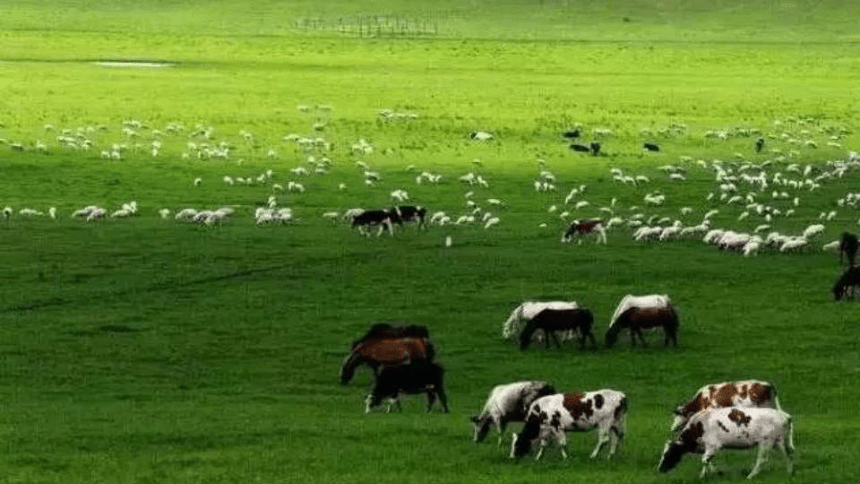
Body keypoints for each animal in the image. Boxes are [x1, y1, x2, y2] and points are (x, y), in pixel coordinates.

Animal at [660, 406, 796, 478]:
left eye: (667, 454)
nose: (659, 469)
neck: (699, 426)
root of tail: (785, 415)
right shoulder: (709, 448)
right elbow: (708, 460)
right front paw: (714, 472)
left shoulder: (714, 445)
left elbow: (704, 460)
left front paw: (702, 476)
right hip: (778, 441)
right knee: (788, 454)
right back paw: (790, 473)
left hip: (766, 442)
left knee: (762, 460)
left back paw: (750, 476)